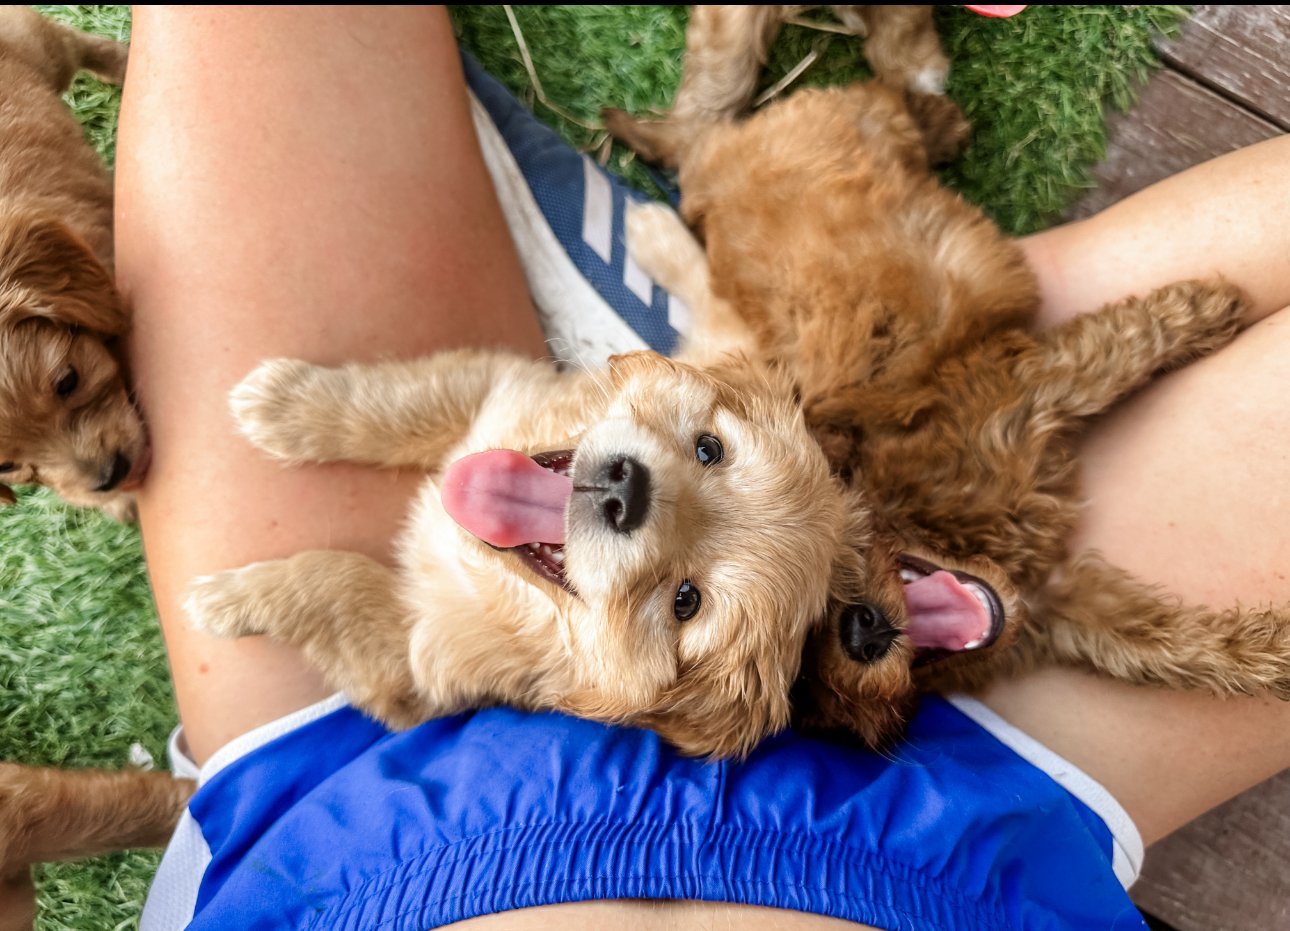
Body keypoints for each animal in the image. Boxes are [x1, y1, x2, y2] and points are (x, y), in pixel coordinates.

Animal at [0, 3, 145, 518]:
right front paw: (120, 501)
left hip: (41, 47)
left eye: (68, 381)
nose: (110, 476)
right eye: (5, 466)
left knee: (78, 45)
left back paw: (123, 63)